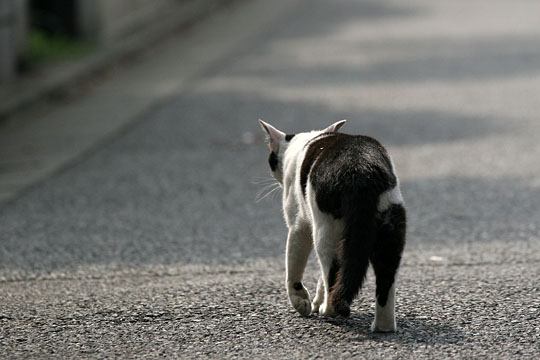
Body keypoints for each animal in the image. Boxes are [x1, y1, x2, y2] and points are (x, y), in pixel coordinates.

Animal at [258, 119, 404, 332]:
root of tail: (362, 168)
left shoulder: (298, 227)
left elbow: (293, 269)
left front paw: (302, 302)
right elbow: (322, 279)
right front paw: (317, 299)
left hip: (325, 233)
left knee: (332, 269)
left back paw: (329, 310)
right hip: (390, 231)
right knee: (384, 279)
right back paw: (382, 327)